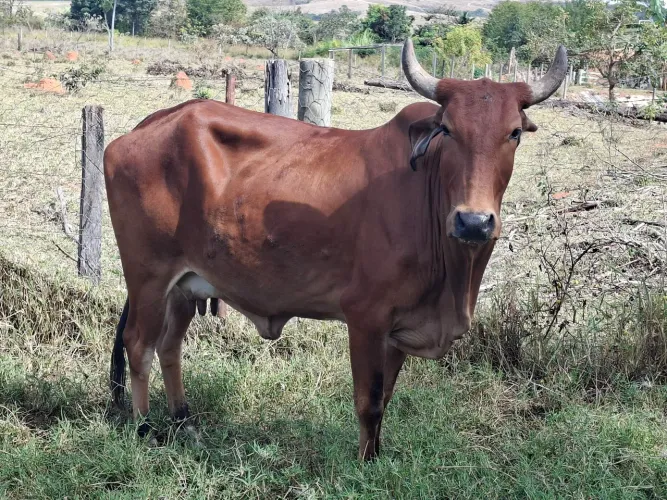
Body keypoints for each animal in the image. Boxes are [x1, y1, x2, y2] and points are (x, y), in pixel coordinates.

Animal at [104, 39, 567, 460]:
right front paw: (364, 463)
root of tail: (151, 124)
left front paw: (377, 457)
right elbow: (370, 401)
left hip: (185, 285)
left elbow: (386, 399)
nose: (474, 222)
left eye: (513, 132)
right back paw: (145, 428)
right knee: (138, 344)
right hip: (148, 275)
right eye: (449, 130)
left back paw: (184, 421)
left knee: (169, 346)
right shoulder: (365, 317)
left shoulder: (397, 330)